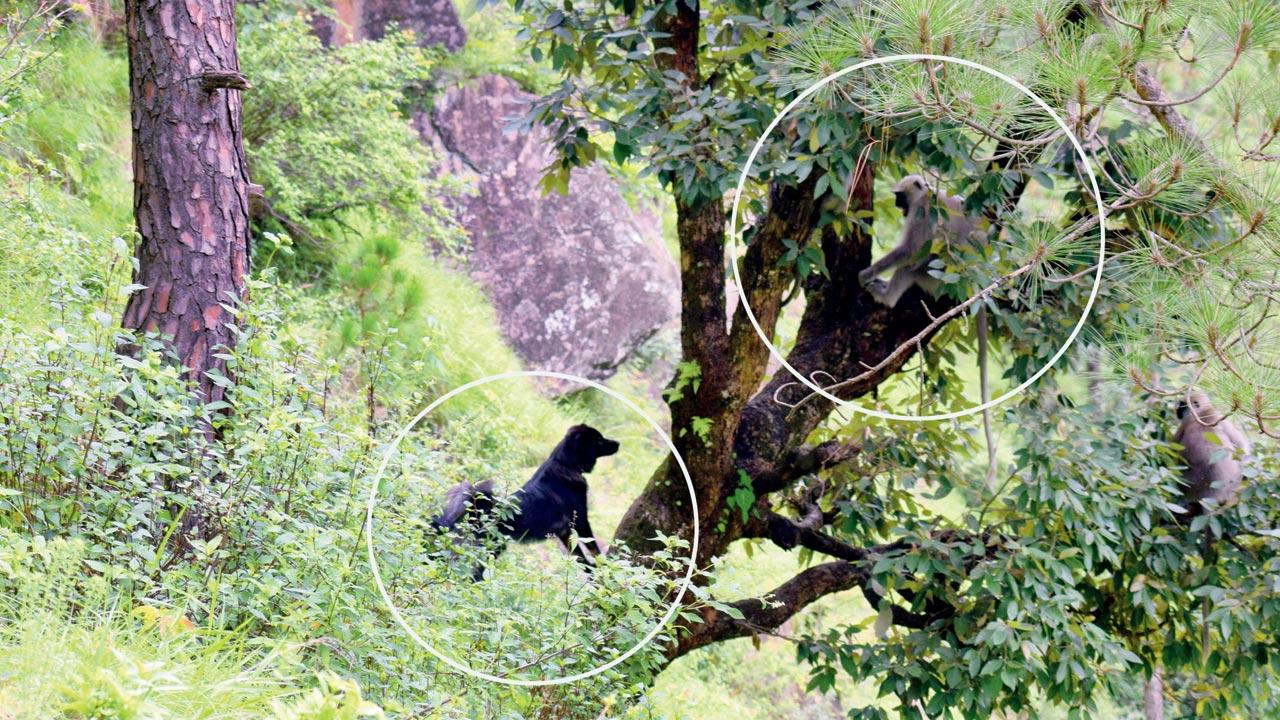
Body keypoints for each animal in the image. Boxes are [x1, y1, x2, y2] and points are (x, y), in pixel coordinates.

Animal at [430, 420, 619, 576]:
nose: (618, 443)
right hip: (492, 547)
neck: (566, 464)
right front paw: (603, 566)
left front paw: (592, 571)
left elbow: (578, 556)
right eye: (600, 440)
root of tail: (477, 504)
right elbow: (593, 547)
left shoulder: (564, 532)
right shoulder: (580, 520)